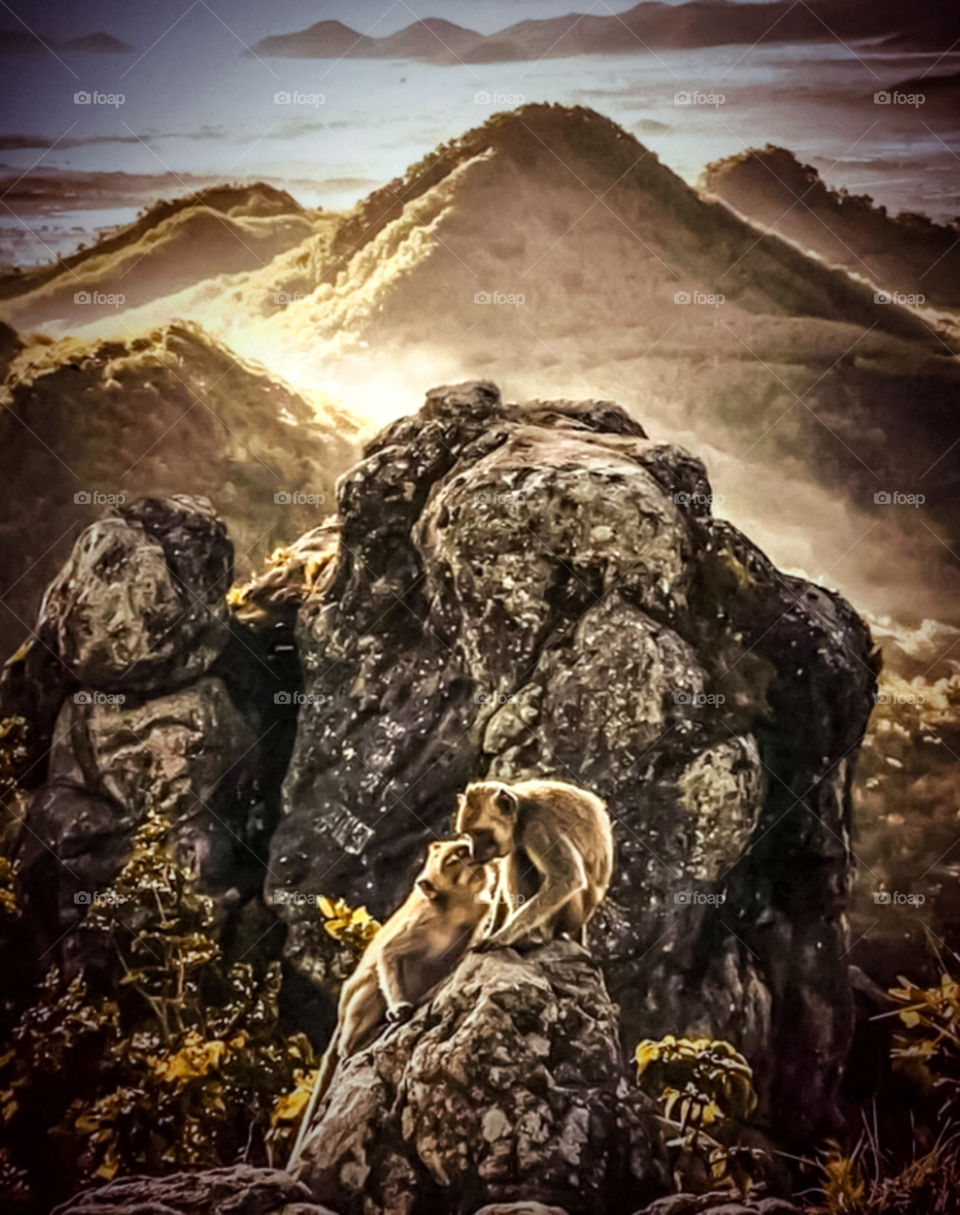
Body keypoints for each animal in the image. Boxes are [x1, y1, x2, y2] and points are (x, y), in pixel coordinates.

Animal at [287, 838, 496, 1170]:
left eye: (463, 846)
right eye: (455, 858)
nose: (473, 851)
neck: (454, 906)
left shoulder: (477, 908)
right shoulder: (423, 921)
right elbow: (387, 953)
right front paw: (399, 1008)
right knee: (371, 985)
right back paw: (350, 1046)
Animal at [454, 778, 614, 951]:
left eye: (480, 834)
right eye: (469, 834)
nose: (473, 853)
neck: (522, 815)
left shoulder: (538, 828)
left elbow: (568, 877)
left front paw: (500, 938)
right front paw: (492, 932)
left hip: (573, 916)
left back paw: (540, 936)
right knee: (517, 855)